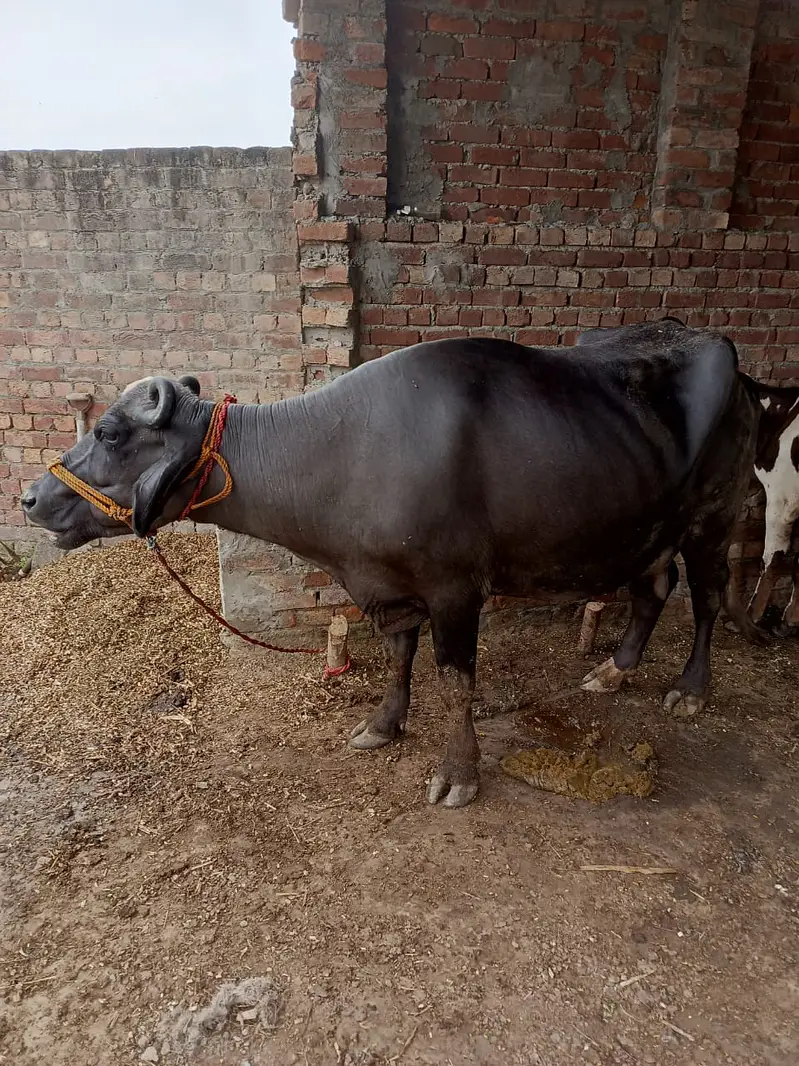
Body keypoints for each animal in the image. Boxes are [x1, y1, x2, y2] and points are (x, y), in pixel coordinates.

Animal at [21, 319, 775, 806]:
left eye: (109, 432)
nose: (30, 496)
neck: (342, 450)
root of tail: (732, 365)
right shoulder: (385, 583)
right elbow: (399, 656)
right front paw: (382, 726)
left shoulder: (455, 591)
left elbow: (454, 681)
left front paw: (459, 773)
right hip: (646, 525)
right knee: (654, 587)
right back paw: (614, 671)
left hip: (712, 517)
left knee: (707, 595)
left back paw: (691, 687)